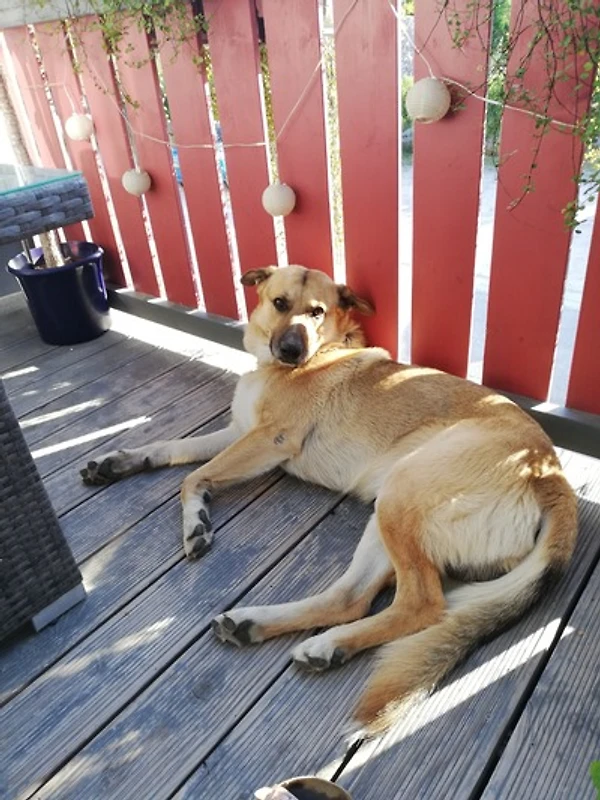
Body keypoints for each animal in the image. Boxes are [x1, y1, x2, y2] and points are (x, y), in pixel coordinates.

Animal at [81, 265, 577, 733]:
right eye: (280, 303)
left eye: (317, 312)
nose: (291, 351)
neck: (318, 351)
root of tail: (549, 474)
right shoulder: (239, 432)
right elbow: (172, 449)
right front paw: (119, 462)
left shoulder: (269, 441)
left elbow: (191, 478)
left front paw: (196, 521)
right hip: (387, 514)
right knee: (351, 599)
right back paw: (267, 628)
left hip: (401, 493)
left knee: (421, 604)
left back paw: (327, 641)